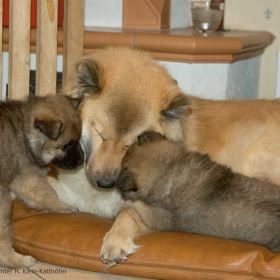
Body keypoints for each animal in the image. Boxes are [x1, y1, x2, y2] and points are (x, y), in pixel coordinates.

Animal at [0, 95, 83, 268]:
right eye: (65, 146)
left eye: (78, 140)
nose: (81, 161)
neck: (26, 134)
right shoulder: (28, 178)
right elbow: (48, 193)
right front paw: (64, 206)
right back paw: (20, 260)